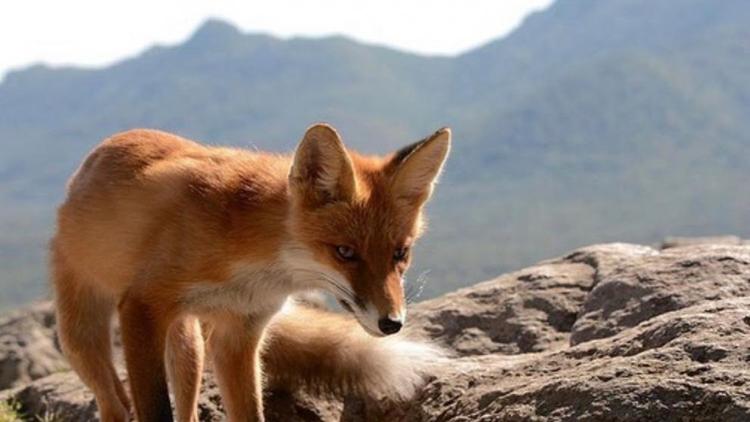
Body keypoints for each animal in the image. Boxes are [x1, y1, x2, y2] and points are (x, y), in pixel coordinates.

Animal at [51, 123, 452, 420]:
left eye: (401, 253)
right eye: (345, 252)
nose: (392, 323)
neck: (255, 269)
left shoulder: (239, 333)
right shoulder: (142, 306)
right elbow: (154, 411)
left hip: (188, 345)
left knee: (186, 408)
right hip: (81, 339)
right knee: (115, 404)